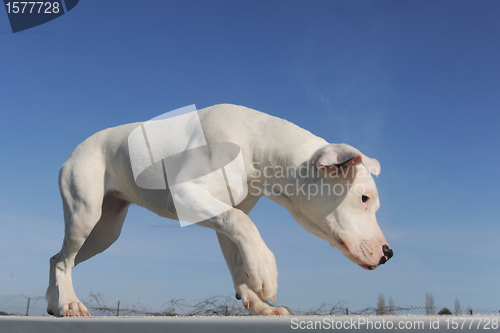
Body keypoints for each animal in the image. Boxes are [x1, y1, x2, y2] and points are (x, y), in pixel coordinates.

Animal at [45, 104, 392, 316]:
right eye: (364, 198)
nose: (388, 253)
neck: (257, 145)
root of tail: (75, 150)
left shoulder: (224, 216)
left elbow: (239, 258)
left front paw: (259, 305)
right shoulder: (185, 195)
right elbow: (246, 228)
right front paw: (266, 272)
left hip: (105, 232)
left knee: (58, 258)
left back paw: (56, 303)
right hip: (85, 216)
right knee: (64, 261)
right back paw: (71, 303)